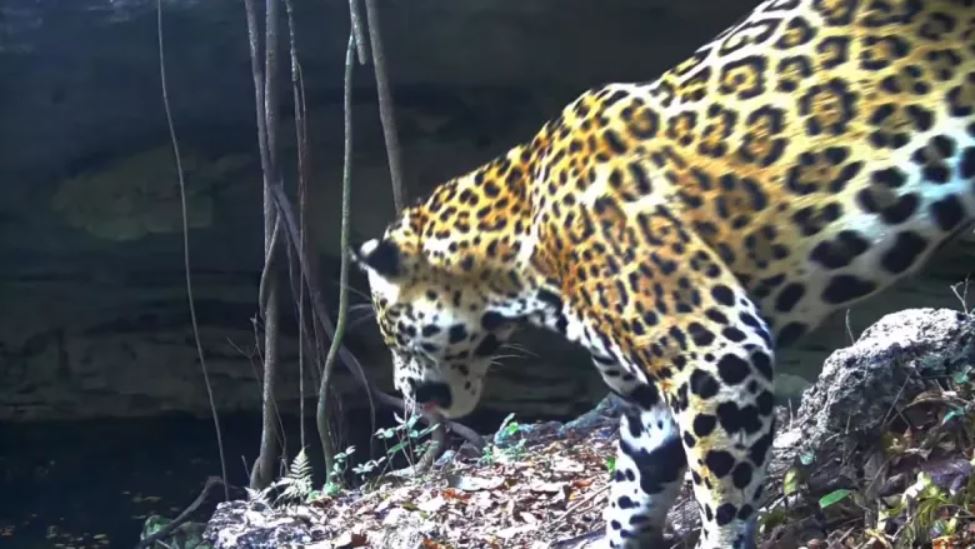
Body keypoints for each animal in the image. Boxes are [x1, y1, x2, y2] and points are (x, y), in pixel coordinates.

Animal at [354, 0, 975, 547]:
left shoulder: (717, 357)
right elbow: (631, 490)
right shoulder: (648, 402)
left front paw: (720, 542)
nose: (402, 391)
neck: (517, 254)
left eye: (390, 329)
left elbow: (721, 495)